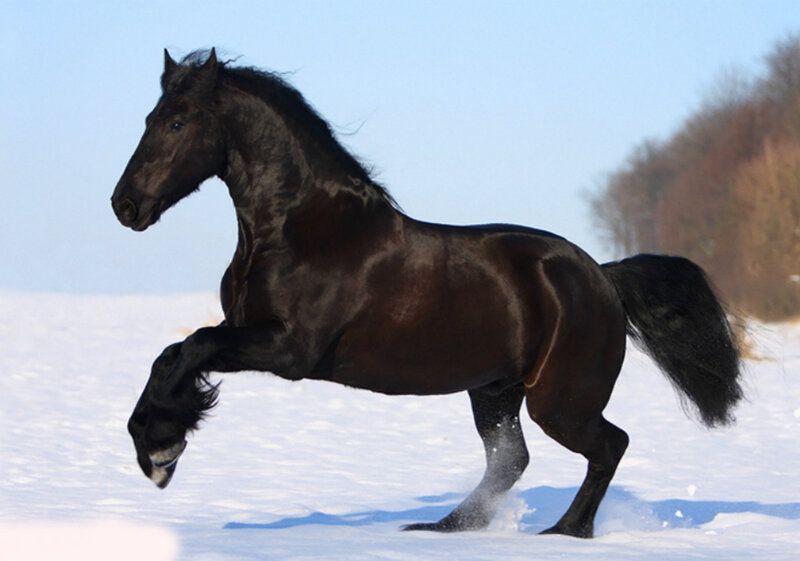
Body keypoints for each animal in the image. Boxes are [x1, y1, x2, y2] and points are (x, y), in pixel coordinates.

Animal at [111, 49, 743, 539]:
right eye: (148, 117)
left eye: (177, 123)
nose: (125, 206)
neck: (302, 228)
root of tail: (603, 277)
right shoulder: (249, 334)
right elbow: (175, 355)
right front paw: (158, 442)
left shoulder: (289, 350)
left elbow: (189, 348)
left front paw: (160, 453)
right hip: (494, 391)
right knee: (512, 460)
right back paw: (442, 528)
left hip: (559, 401)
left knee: (609, 445)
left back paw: (565, 532)